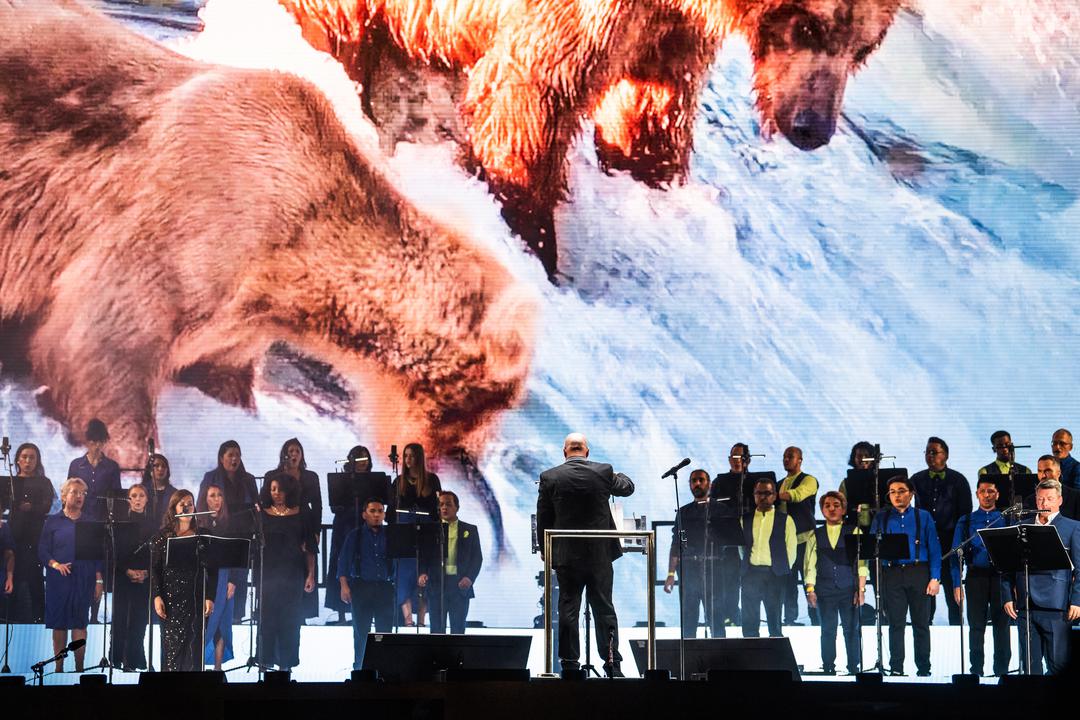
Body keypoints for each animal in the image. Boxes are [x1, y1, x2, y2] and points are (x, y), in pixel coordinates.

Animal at [0, 1, 535, 472]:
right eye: (488, 404)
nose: (462, 458)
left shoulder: (244, 319)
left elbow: (221, 371)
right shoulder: (192, 223)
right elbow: (102, 349)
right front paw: (129, 452)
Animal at [280, 0, 902, 278]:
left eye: (864, 48)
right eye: (809, 25)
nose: (811, 129)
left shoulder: (669, 31)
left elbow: (649, 111)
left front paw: (653, 181)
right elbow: (535, 94)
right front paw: (532, 241)